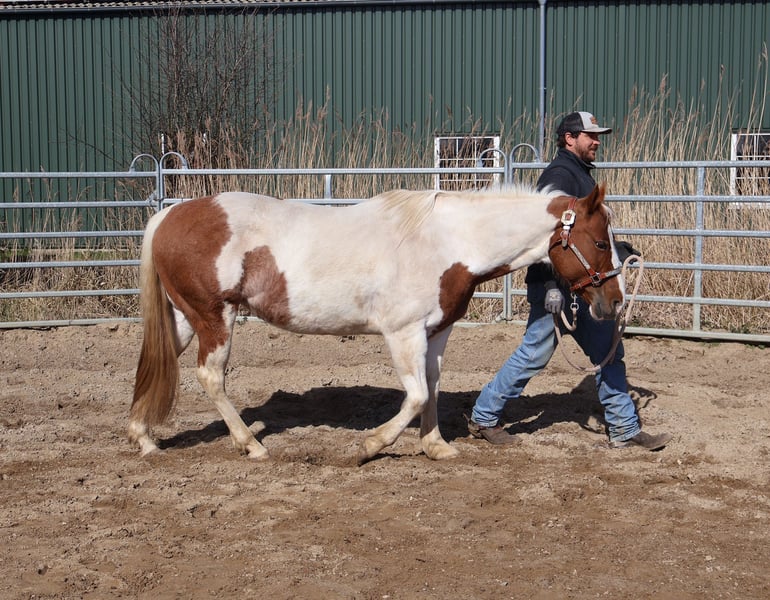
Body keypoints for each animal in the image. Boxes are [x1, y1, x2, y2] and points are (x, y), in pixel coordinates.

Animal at [129, 183, 624, 464]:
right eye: (600, 242)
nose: (614, 302)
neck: (447, 241)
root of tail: (168, 213)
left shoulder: (435, 332)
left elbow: (432, 388)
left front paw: (436, 446)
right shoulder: (402, 333)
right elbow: (416, 395)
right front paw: (368, 447)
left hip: (184, 317)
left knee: (153, 365)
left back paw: (144, 438)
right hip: (215, 316)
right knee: (210, 376)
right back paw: (251, 445)